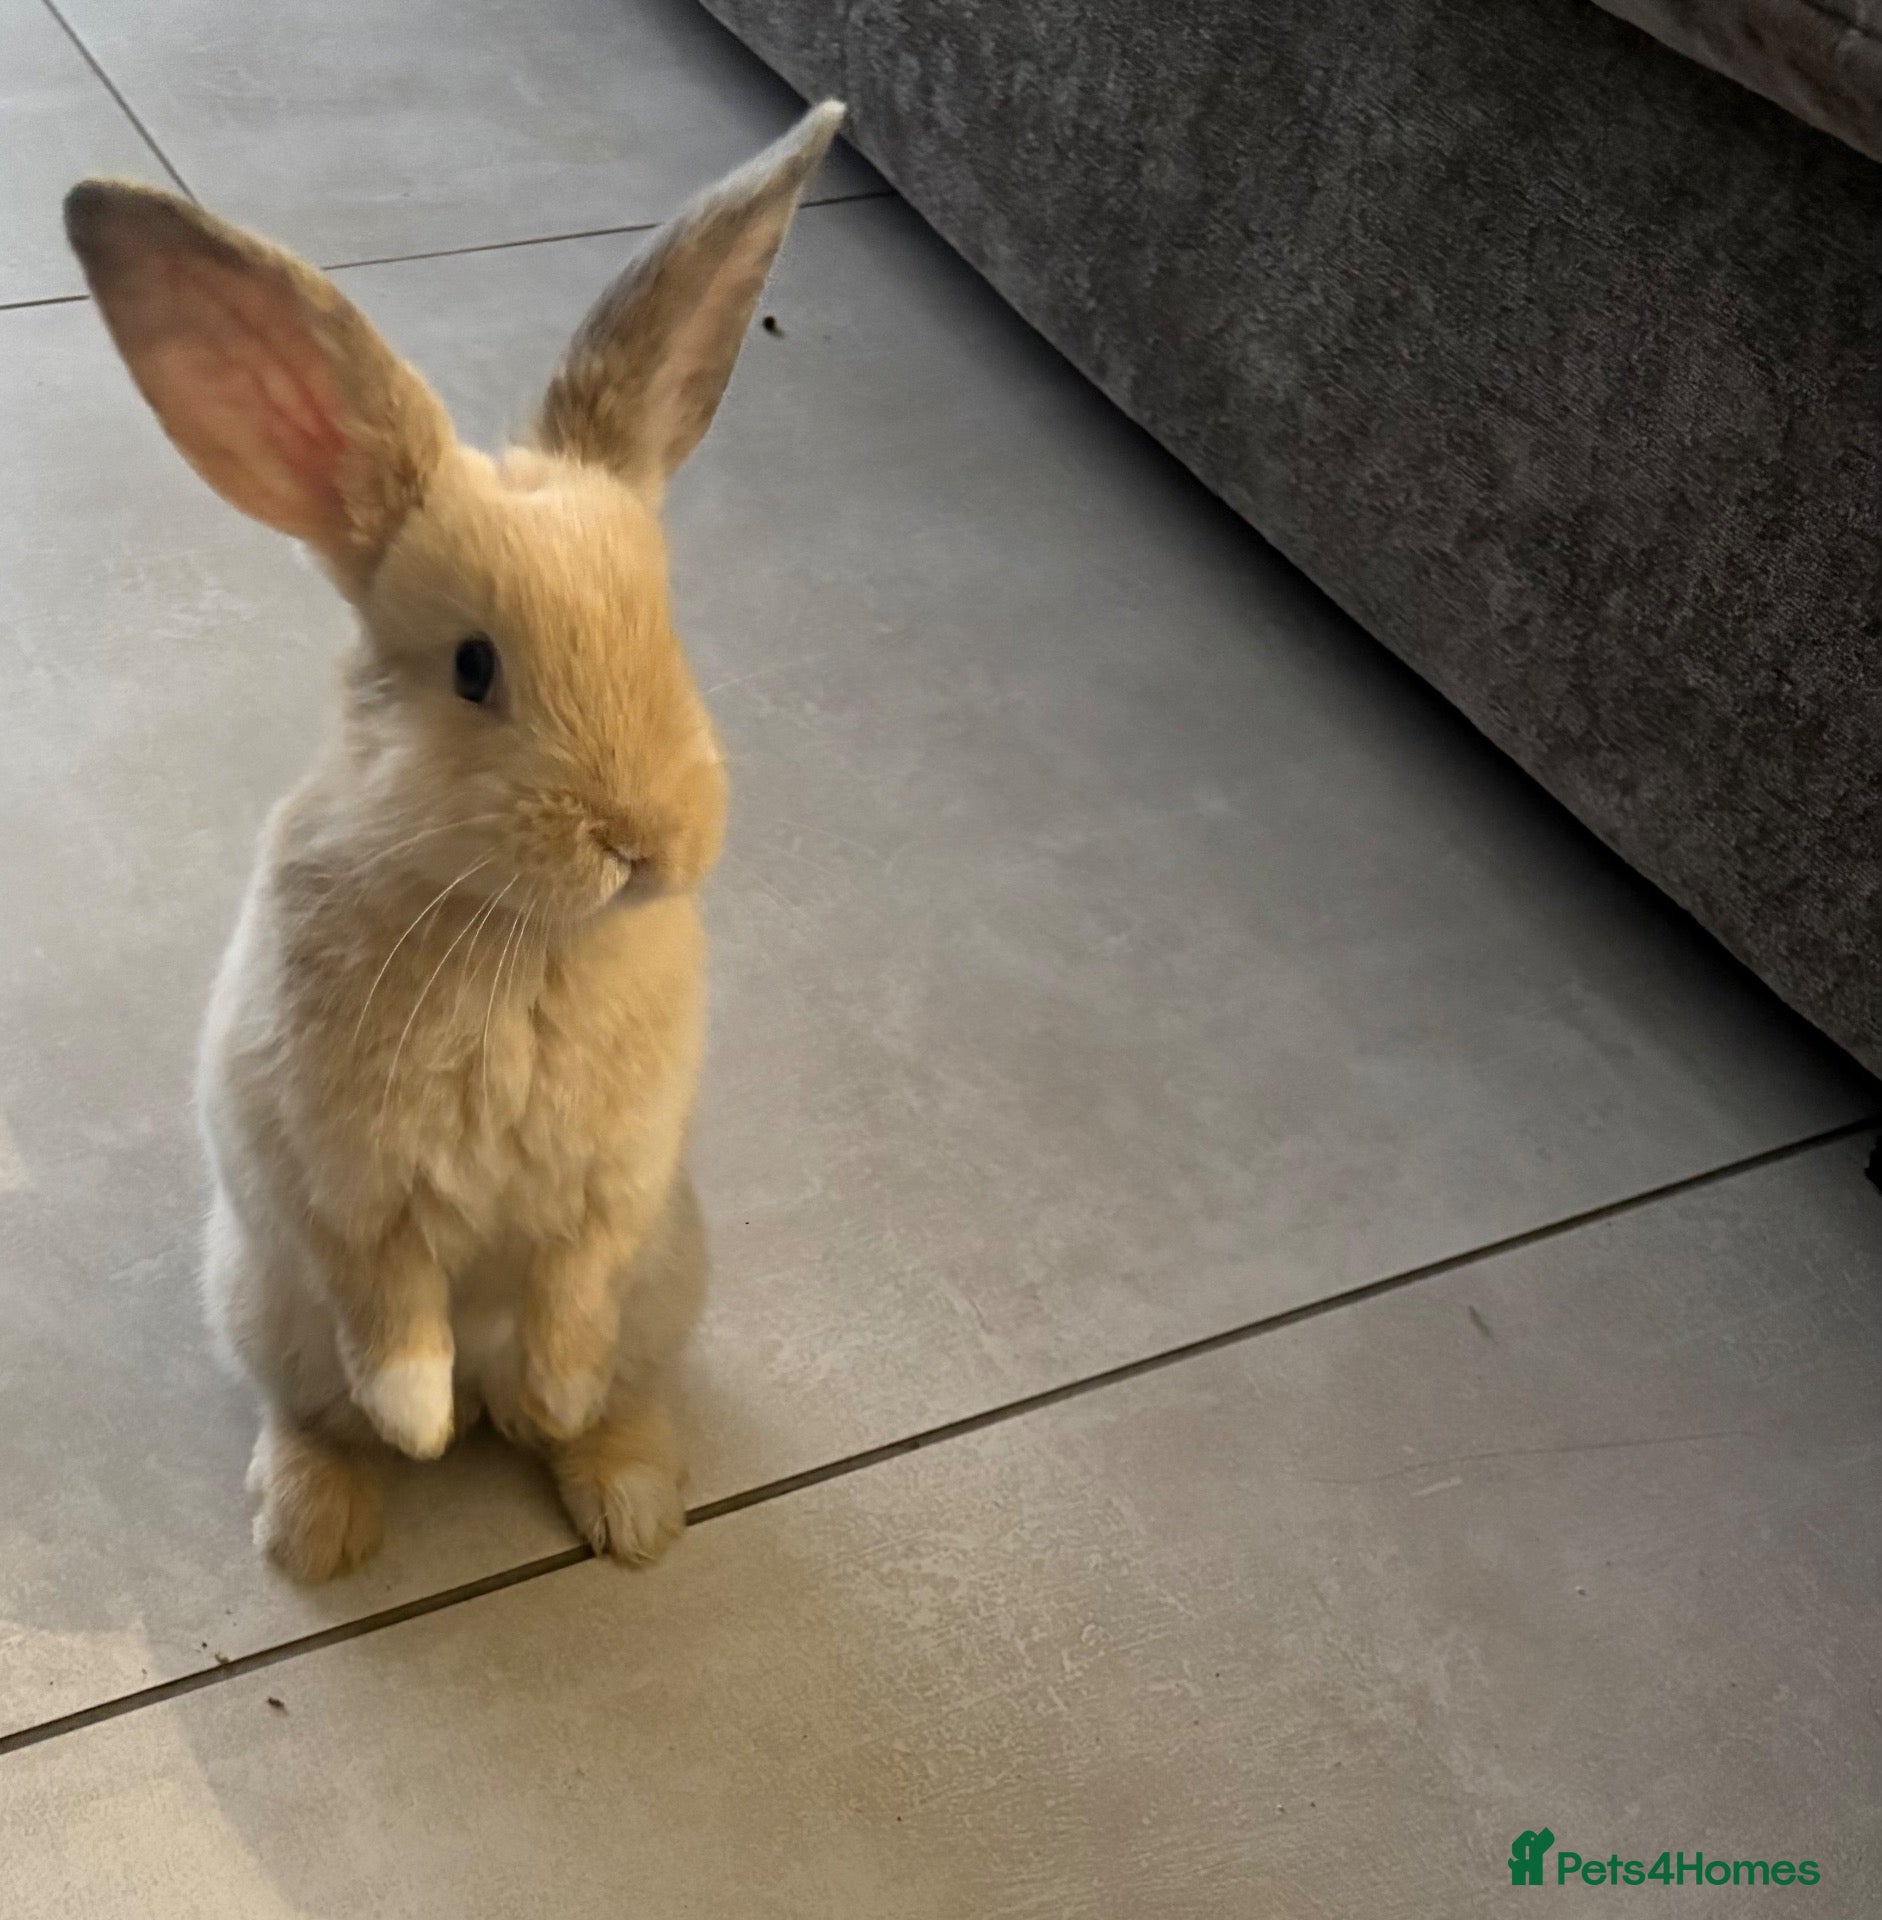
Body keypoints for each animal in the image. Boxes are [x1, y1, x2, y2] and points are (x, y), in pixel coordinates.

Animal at [63, 99, 846, 1583]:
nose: (644, 841)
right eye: (474, 669)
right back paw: (321, 1530)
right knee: (314, 1410)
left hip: (671, 1278)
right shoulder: (342, 1185)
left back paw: (621, 1500)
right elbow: (396, 1316)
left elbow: (568, 1297)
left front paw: (550, 1397)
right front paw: (423, 1428)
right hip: (260, 1299)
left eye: (666, 633)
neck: (519, 929)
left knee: (615, 1390)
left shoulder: (612, 1197)